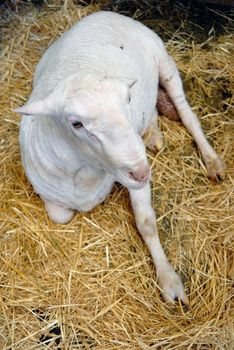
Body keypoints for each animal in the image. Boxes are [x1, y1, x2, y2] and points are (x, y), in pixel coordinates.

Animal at [15, 12, 225, 304]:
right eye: (76, 123)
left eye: (127, 100)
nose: (142, 171)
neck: (84, 174)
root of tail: (103, 14)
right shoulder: (51, 197)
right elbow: (61, 216)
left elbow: (146, 222)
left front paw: (169, 280)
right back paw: (153, 134)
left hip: (165, 63)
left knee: (188, 116)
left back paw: (212, 161)